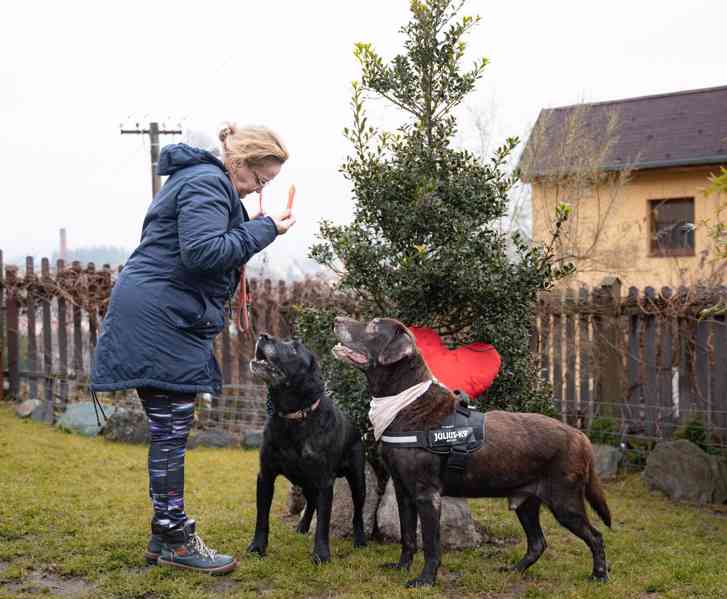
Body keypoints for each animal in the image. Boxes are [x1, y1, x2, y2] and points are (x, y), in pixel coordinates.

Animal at [247, 336, 366, 564]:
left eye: (294, 349)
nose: (263, 336)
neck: (294, 417)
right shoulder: (265, 475)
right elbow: (261, 517)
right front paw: (257, 548)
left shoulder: (324, 481)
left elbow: (323, 522)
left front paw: (321, 555)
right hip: (304, 481)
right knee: (310, 502)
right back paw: (302, 526)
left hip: (357, 479)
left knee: (357, 512)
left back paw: (360, 540)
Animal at [332, 316, 612, 588]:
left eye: (374, 325)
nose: (336, 319)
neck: (405, 402)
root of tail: (579, 435)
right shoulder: (403, 491)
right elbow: (408, 536)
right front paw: (402, 568)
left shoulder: (427, 494)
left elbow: (431, 545)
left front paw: (425, 580)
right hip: (526, 501)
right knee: (537, 542)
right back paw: (514, 570)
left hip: (565, 502)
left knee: (596, 536)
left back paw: (599, 576)